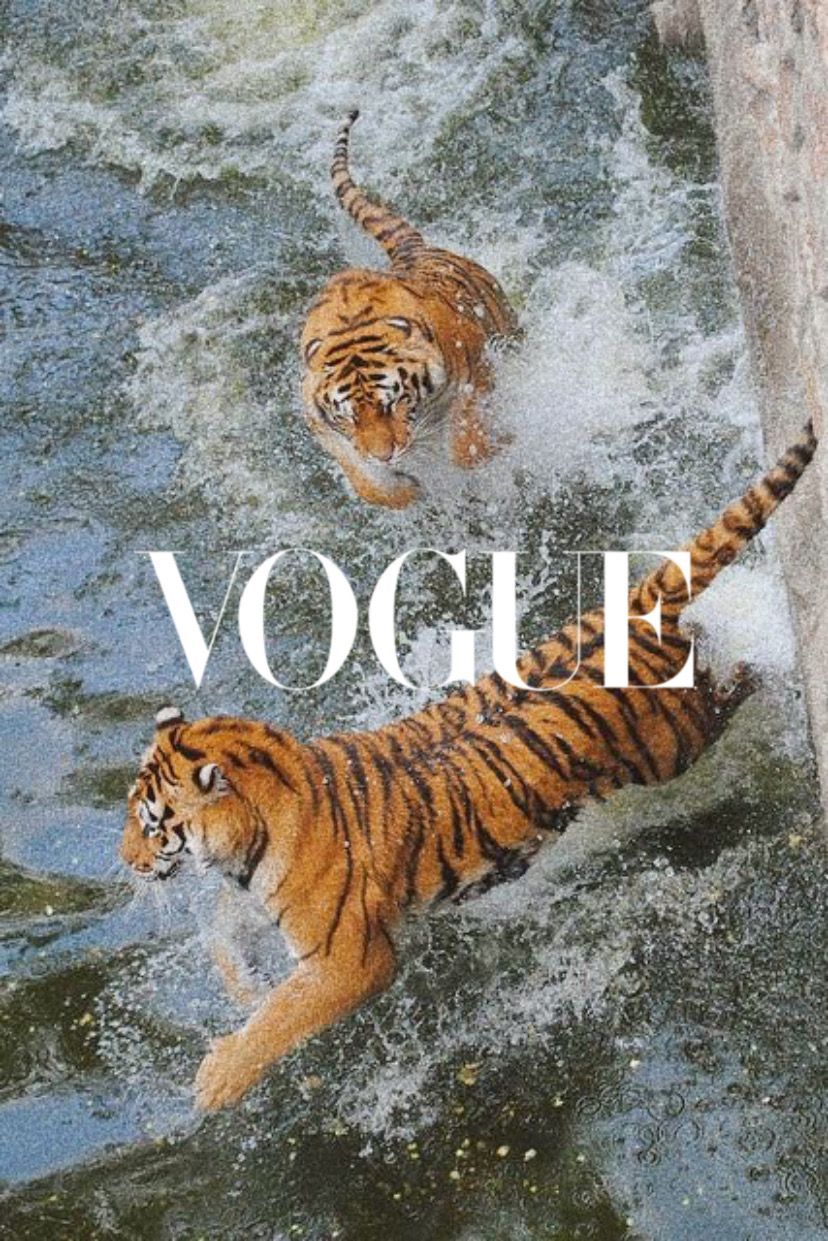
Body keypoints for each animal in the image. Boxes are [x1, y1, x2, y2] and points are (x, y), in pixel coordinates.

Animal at [120, 424, 817, 1110]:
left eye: (154, 824)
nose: (126, 863)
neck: (255, 834)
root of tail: (636, 607)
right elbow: (223, 930)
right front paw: (243, 989)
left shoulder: (349, 961)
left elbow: (283, 1017)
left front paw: (215, 1080)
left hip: (680, 737)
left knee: (740, 675)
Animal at [300, 110, 518, 508]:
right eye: (350, 417)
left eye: (392, 403)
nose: (384, 456)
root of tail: (411, 253)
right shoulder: (320, 422)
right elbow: (366, 481)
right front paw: (404, 492)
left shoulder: (477, 369)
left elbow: (467, 439)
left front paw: (486, 449)